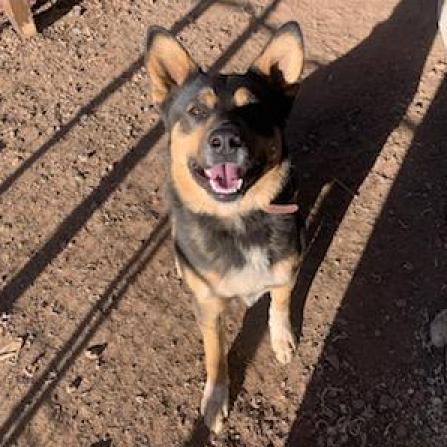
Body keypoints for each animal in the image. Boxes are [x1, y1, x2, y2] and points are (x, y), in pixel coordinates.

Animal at [145, 21, 306, 434]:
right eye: (197, 110)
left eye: (253, 108)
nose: (226, 141)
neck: (240, 220)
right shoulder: (208, 306)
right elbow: (215, 354)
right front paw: (216, 398)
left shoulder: (287, 270)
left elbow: (280, 304)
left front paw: (281, 339)